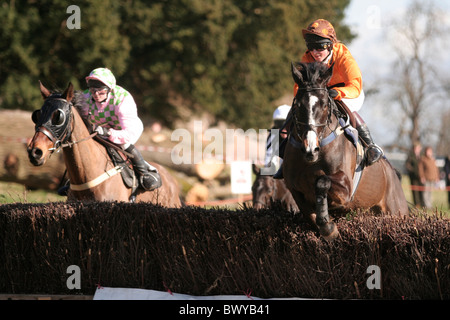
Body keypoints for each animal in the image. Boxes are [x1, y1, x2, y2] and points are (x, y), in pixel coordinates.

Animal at [284, 61, 408, 239]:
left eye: (324, 105)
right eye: (298, 105)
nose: (310, 149)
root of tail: (393, 174)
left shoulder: (346, 188)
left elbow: (321, 181)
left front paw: (328, 226)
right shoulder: (294, 188)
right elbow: (309, 214)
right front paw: (327, 226)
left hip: (396, 210)